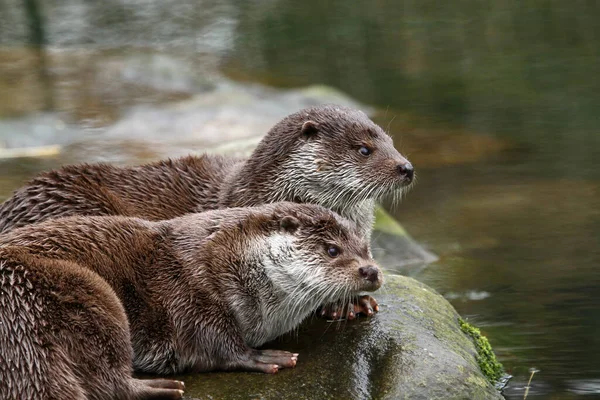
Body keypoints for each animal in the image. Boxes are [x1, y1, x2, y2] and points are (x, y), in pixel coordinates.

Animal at [0, 203, 384, 376]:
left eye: (366, 246)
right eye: (332, 249)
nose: (372, 271)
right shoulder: (188, 295)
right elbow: (215, 343)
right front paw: (263, 358)